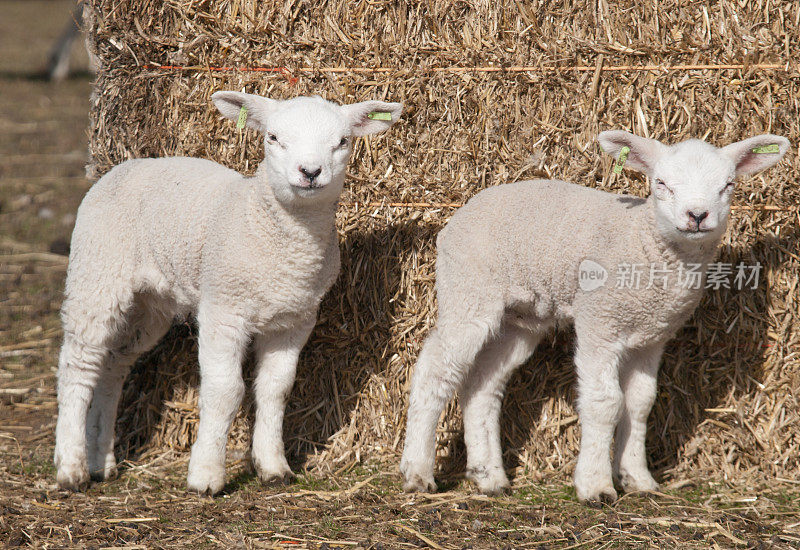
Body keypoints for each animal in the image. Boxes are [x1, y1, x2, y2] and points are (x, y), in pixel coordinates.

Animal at [54, 90, 404, 496]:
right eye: (273, 138)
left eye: (342, 141)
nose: (310, 172)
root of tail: (119, 167)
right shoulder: (223, 310)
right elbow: (225, 391)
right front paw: (206, 475)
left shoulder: (294, 320)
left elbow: (275, 390)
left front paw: (274, 468)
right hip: (97, 273)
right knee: (79, 365)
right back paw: (71, 469)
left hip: (148, 307)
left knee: (112, 365)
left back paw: (101, 462)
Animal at [404, 130, 792, 504]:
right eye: (661, 183)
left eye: (728, 185)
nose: (697, 216)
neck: (643, 240)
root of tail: (464, 210)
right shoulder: (599, 323)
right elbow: (606, 403)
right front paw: (596, 486)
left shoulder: (651, 338)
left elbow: (640, 404)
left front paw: (638, 478)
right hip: (468, 291)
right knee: (435, 371)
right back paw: (417, 473)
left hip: (519, 320)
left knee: (482, 386)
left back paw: (489, 478)